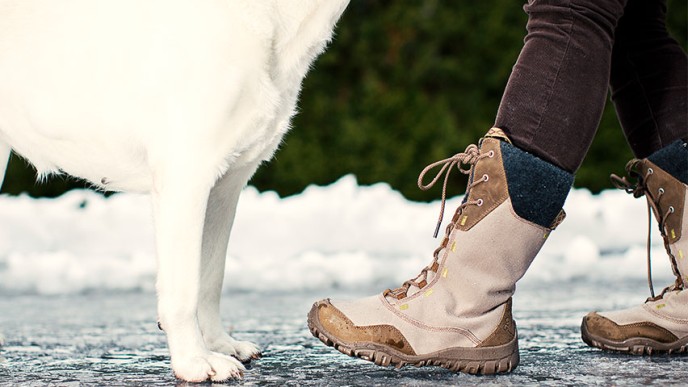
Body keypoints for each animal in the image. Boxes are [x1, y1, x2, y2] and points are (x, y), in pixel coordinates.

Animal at [0, 0, 346, 382]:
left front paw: (219, 343)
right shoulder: (186, 176)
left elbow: (210, 278)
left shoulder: (225, 188)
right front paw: (194, 361)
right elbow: (184, 289)